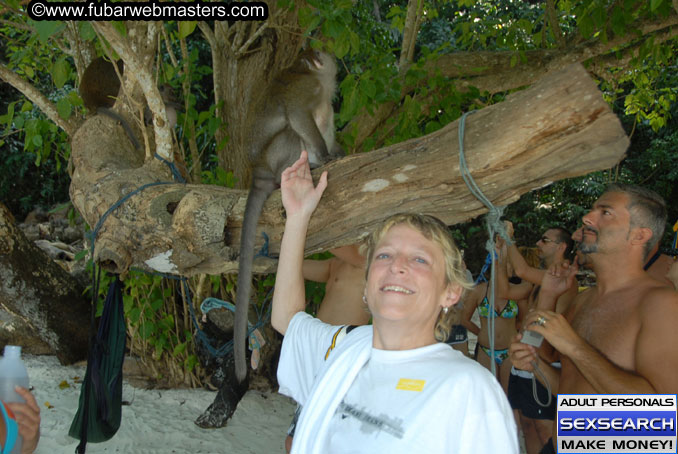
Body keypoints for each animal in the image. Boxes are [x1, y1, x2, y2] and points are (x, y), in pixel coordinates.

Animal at [234, 50, 342, 384]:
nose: (320, 54)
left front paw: (336, 151)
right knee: (293, 134)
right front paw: (327, 155)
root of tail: (258, 170)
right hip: (276, 155)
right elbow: (298, 114)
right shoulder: (308, 88)